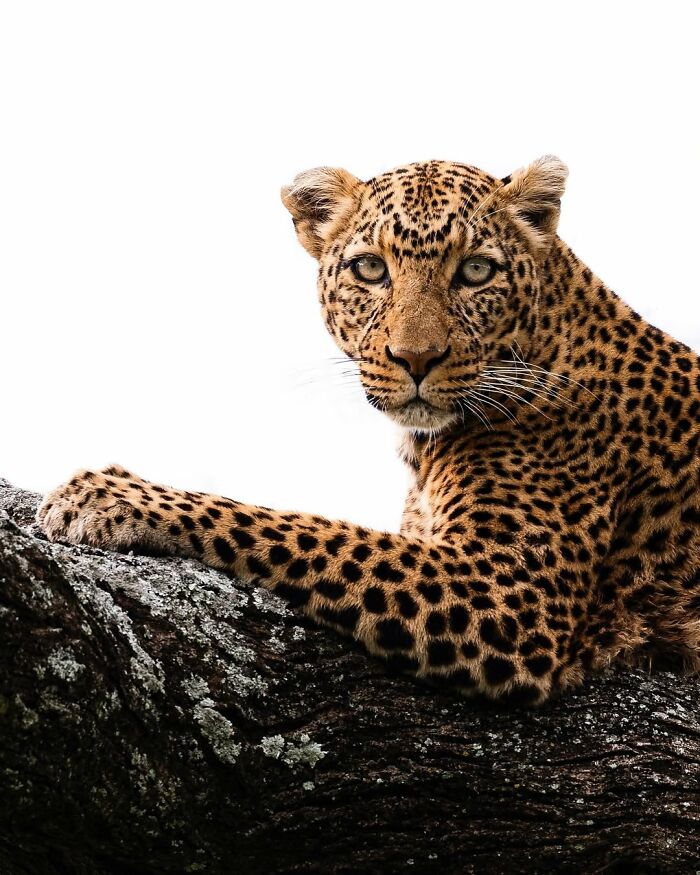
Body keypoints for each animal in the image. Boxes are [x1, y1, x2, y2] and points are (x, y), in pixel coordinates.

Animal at [37, 156, 700, 705]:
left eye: (476, 271)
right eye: (371, 269)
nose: (416, 358)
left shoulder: (508, 592)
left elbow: (301, 527)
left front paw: (109, 495)